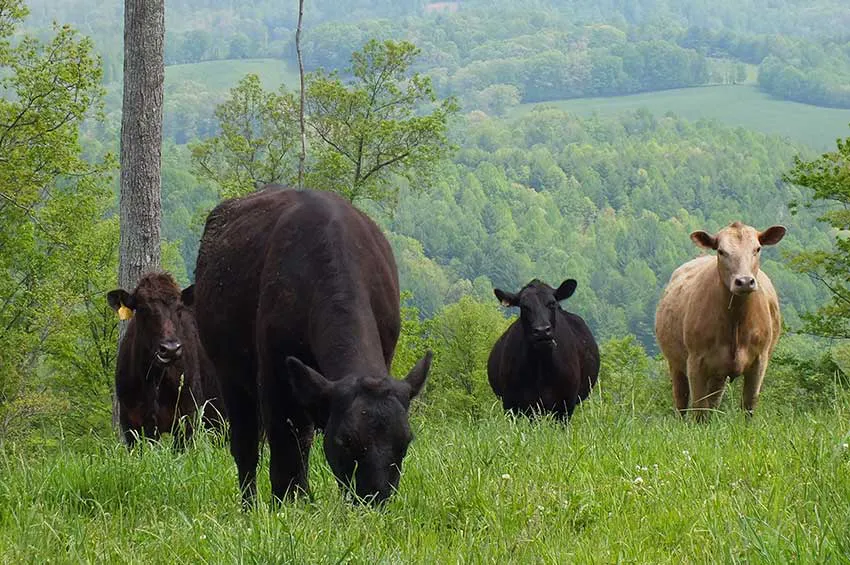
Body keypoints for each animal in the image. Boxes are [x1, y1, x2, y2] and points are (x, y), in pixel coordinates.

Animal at [107, 272, 225, 448]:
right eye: (143, 308)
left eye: (179, 309)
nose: (170, 349)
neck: (155, 379)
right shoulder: (131, 423)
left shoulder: (187, 418)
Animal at [192, 186, 432, 507]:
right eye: (345, 441)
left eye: (405, 442)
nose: (374, 500)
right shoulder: (276, 375)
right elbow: (286, 447)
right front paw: (289, 503)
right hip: (230, 378)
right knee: (247, 446)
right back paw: (250, 505)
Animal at [655, 221, 786, 421]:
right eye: (721, 251)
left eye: (757, 249)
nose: (745, 281)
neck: (736, 322)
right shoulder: (696, 361)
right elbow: (699, 408)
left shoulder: (759, 360)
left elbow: (748, 404)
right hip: (676, 363)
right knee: (682, 399)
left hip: (718, 373)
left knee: (714, 400)